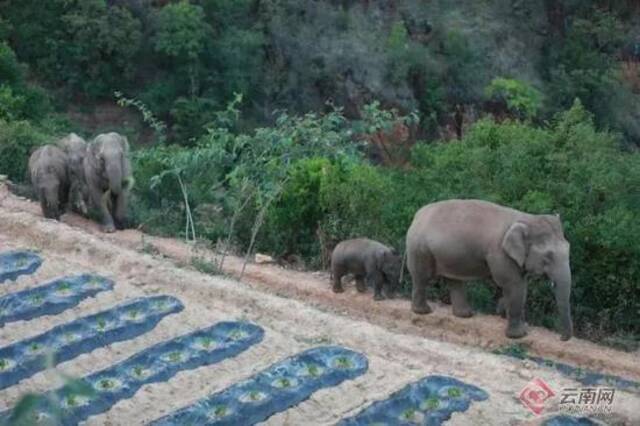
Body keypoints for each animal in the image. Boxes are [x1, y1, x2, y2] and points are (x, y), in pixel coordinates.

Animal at [408, 198, 572, 342]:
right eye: (548, 256)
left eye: (568, 248)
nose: (561, 338)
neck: (526, 218)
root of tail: (417, 215)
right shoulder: (500, 253)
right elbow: (514, 285)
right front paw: (518, 335)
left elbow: (519, 286)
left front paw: (503, 312)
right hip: (420, 249)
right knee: (422, 277)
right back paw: (424, 311)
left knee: (454, 280)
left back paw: (465, 315)